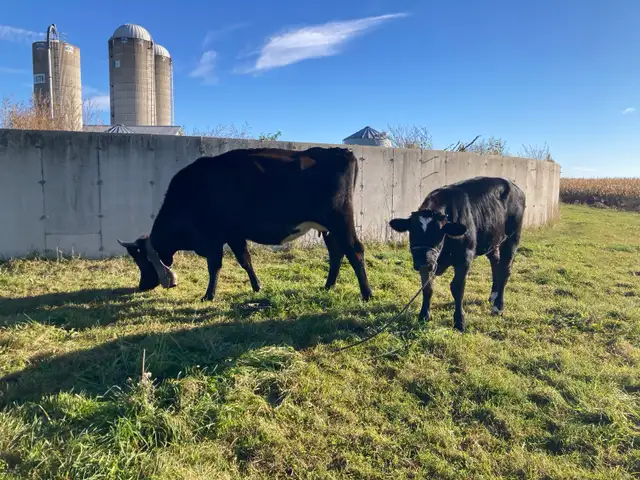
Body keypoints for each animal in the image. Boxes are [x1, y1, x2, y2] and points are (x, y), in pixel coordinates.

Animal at [117, 146, 373, 303]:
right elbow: (245, 261)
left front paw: (208, 296)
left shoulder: (214, 238)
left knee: (355, 251)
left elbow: (215, 266)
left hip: (341, 220)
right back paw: (328, 286)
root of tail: (341, 151)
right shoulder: (234, 235)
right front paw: (257, 287)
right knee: (337, 253)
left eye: (141, 260)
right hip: (327, 228)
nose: (141, 286)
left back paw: (367, 294)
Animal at [388, 176, 525, 332]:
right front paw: (423, 315)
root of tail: (514, 186)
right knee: (495, 264)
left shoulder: (464, 257)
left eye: (439, 233)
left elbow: (457, 288)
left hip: (512, 238)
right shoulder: (427, 264)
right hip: (493, 241)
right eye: (412, 232)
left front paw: (459, 322)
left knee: (505, 271)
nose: (424, 260)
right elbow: (427, 287)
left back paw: (498, 307)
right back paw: (493, 296)